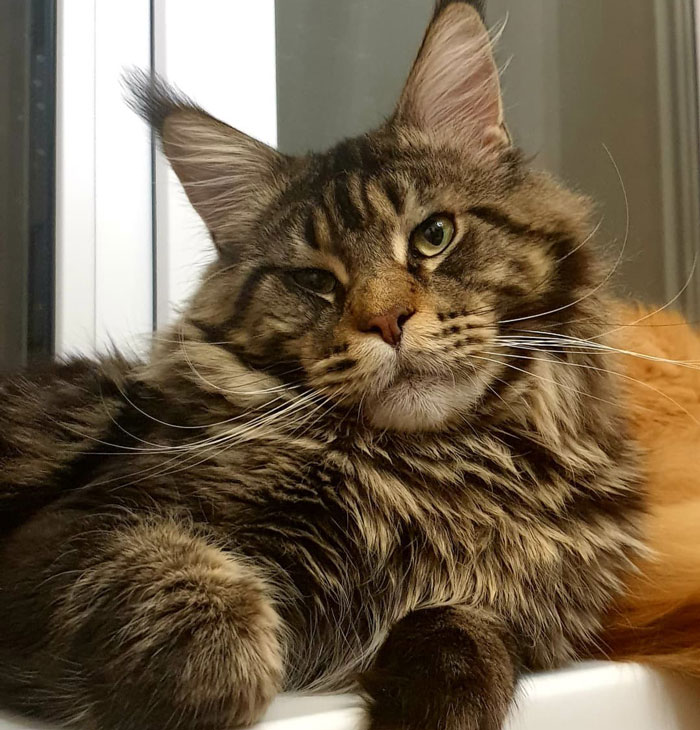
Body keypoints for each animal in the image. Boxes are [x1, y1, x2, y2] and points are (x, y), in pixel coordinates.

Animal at [0, 4, 652, 728]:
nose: (387, 322)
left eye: (433, 235)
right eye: (314, 281)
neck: (433, 479)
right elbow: (197, 600)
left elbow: (467, 627)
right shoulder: (75, 530)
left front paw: (433, 704)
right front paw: (225, 674)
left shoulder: (523, 607)